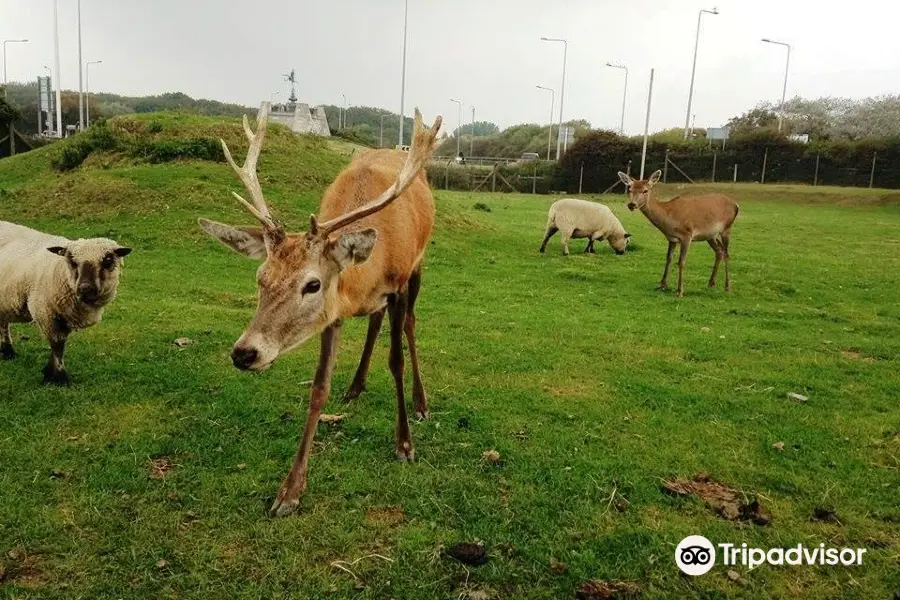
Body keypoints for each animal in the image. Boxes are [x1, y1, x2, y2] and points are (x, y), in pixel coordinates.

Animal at [0, 220, 132, 384]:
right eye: (72, 261)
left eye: (107, 261)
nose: (85, 288)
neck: (61, 272)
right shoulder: (46, 312)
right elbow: (57, 345)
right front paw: (60, 377)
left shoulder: (64, 314)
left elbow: (60, 343)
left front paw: (49, 373)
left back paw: (7, 352)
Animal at [199, 102, 442, 516]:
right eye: (260, 276)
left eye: (312, 284)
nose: (245, 352)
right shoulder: (334, 313)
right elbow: (318, 387)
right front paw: (289, 491)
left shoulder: (396, 283)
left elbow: (395, 361)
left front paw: (405, 444)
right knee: (374, 320)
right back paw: (356, 385)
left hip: (419, 266)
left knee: (410, 323)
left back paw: (421, 402)